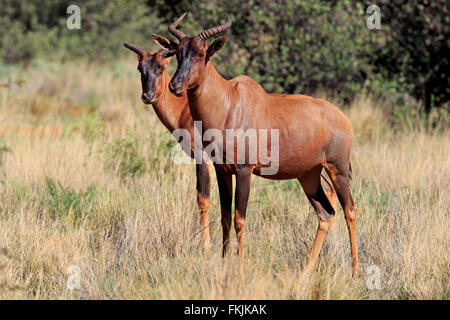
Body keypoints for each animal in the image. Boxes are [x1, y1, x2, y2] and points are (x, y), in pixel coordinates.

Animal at [156, 13, 360, 276]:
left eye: (201, 53)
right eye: (178, 52)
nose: (175, 85)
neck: (230, 103)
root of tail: (344, 118)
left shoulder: (245, 170)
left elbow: (240, 218)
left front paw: (241, 266)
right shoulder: (222, 171)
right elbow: (225, 216)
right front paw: (225, 261)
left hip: (338, 169)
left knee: (349, 210)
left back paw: (355, 271)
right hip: (308, 175)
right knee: (326, 214)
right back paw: (306, 269)